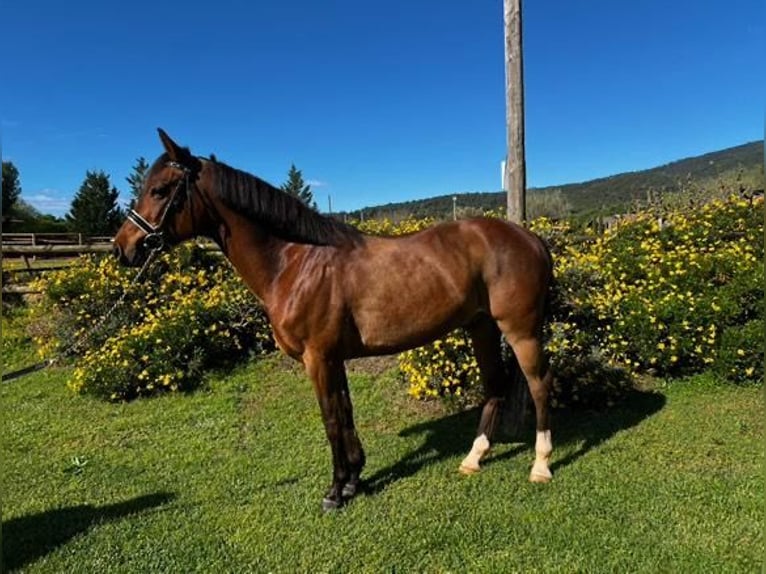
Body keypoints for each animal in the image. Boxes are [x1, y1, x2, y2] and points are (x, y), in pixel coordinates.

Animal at [113, 129, 556, 511]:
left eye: (160, 190)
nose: (122, 248)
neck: (293, 262)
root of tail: (529, 237)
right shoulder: (334, 358)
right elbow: (345, 414)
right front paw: (354, 480)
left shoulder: (318, 359)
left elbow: (330, 419)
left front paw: (335, 491)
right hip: (481, 327)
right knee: (495, 385)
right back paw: (472, 459)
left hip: (521, 330)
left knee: (539, 385)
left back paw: (540, 465)